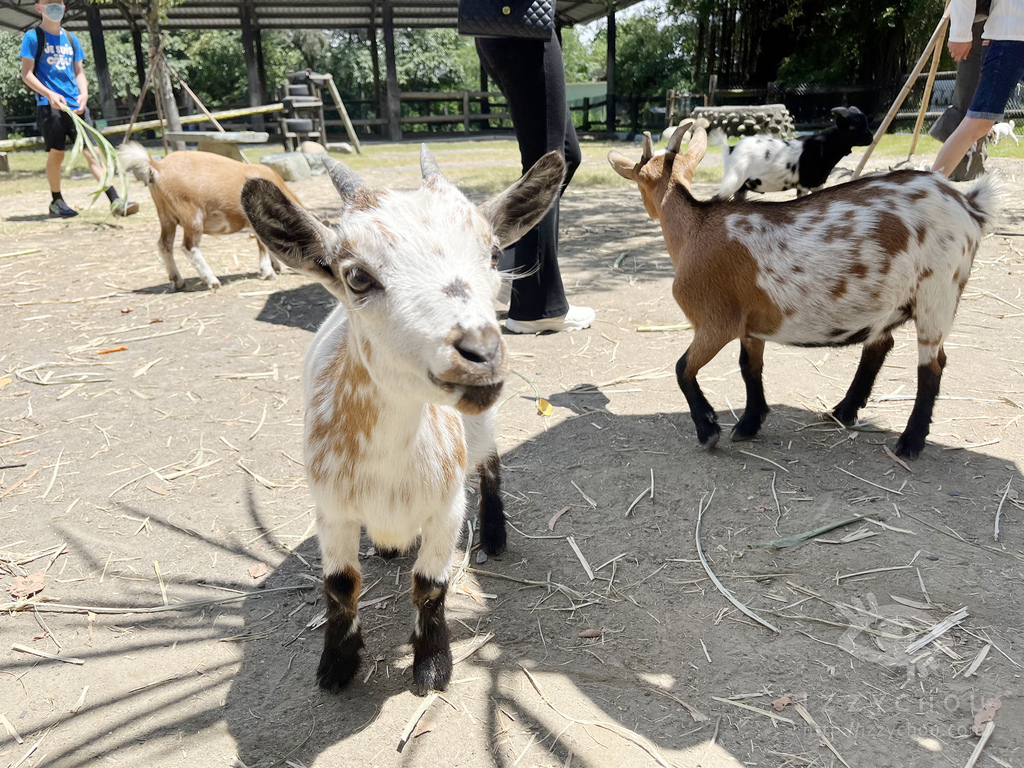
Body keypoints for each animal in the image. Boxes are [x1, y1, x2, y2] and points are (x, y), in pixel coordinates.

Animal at [119, 142, 301, 290]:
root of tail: (157, 165)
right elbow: (262, 244)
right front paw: (268, 272)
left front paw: (275, 266)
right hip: (191, 215)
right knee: (188, 247)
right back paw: (212, 281)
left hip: (165, 215)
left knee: (164, 245)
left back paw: (178, 281)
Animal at [241, 145, 569, 696]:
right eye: (356, 276)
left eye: (494, 255)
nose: (481, 353)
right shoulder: (331, 510)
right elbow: (340, 584)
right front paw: (337, 665)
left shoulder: (447, 508)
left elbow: (430, 585)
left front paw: (433, 664)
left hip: (481, 429)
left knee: (491, 463)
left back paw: (494, 535)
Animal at [606, 123, 999, 460]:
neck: (696, 229)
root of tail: (969, 205)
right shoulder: (751, 325)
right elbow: (749, 367)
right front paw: (749, 424)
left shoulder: (716, 322)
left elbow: (682, 368)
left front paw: (709, 430)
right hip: (893, 299)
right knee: (879, 346)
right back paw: (843, 411)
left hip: (938, 292)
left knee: (931, 366)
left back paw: (910, 442)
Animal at [712, 105, 872, 199]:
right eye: (852, 126)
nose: (871, 137)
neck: (823, 146)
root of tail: (730, 149)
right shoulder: (804, 185)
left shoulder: (817, 184)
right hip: (733, 181)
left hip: (741, 187)